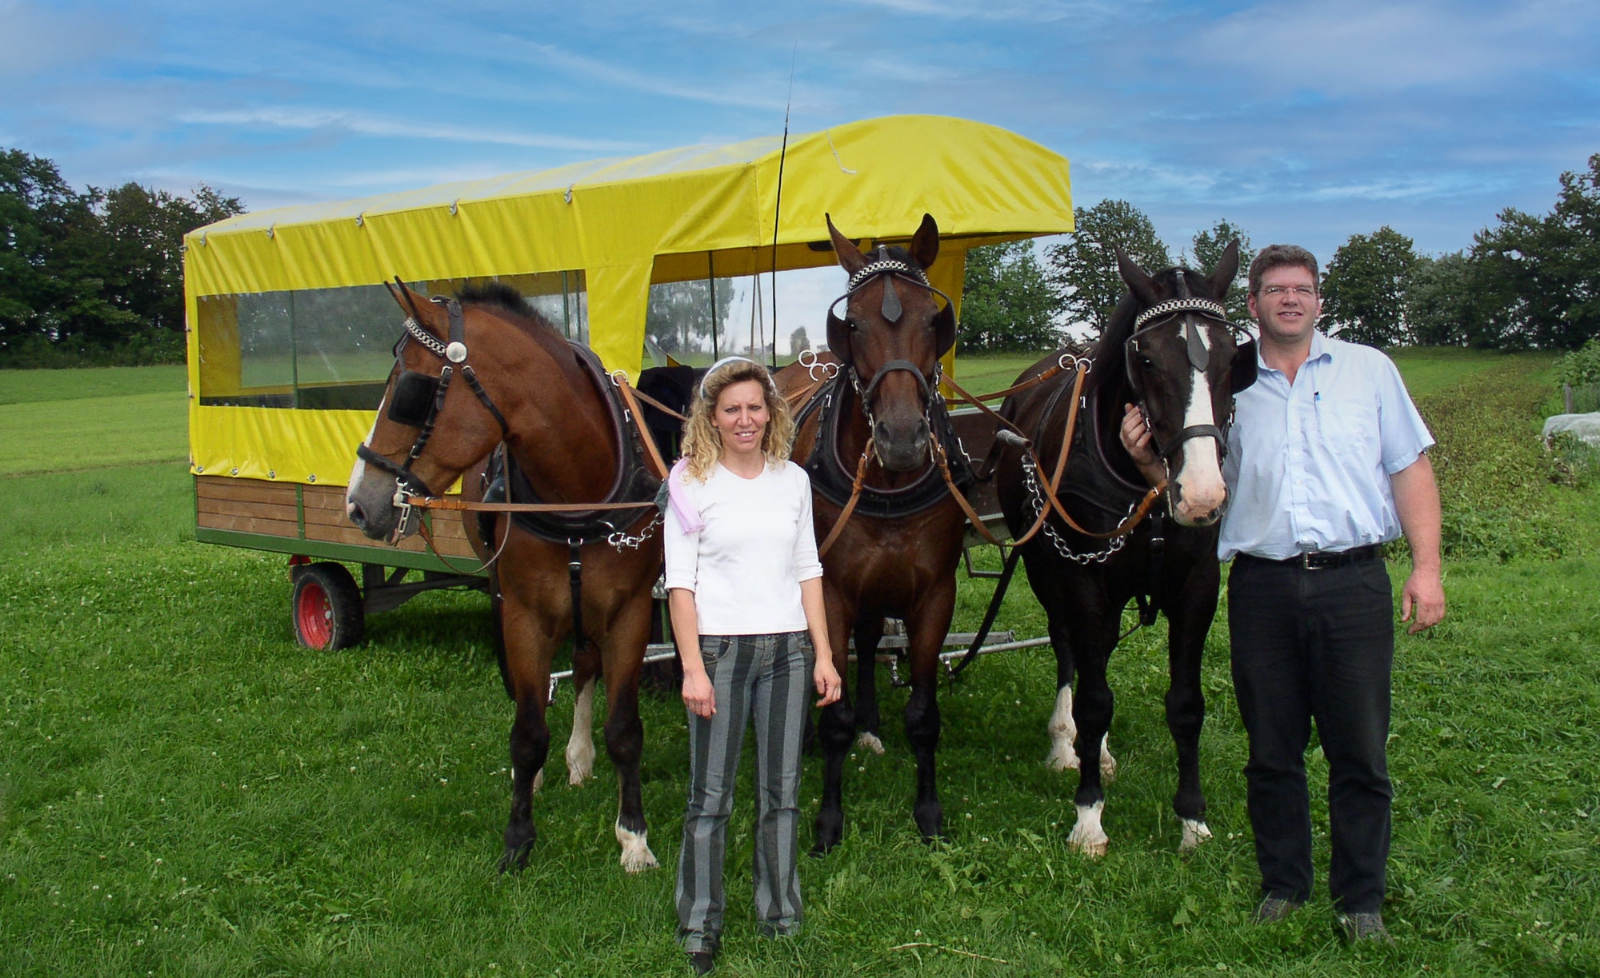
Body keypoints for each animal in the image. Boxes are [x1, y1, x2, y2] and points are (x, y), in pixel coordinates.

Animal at [344, 281, 662, 870]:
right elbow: (528, 729)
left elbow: (625, 730)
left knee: (585, 666)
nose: (357, 504)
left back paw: (579, 755)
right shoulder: (524, 616)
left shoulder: (627, 612)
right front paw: (518, 836)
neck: (577, 492)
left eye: (410, 391)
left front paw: (633, 837)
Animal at [771, 212, 960, 851]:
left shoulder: (935, 594)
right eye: (851, 323)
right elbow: (834, 711)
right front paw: (829, 819)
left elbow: (925, 716)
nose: (901, 439)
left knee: (873, 637)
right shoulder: (830, 590)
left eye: (933, 319)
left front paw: (928, 812)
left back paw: (873, 723)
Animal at [992, 244, 1254, 857]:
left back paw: (1101, 751)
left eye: (1233, 357)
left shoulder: (1197, 587)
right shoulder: (1083, 582)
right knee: (1070, 651)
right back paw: (1066, 743)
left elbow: (1186, 706)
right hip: (1049, 572)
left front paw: (1192, 820)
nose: (1202, 494)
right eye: (1148, 359)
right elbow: (1092, 698)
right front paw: (1088, 816)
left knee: (1102, 651)